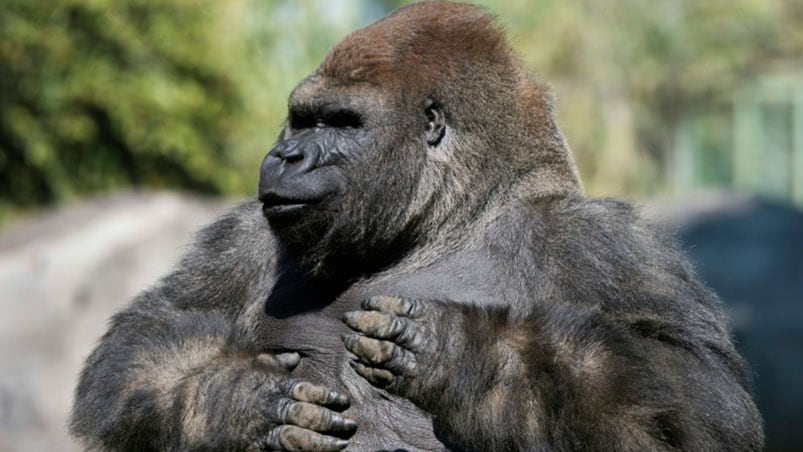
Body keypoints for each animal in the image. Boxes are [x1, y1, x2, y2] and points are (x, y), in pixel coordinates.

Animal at [67, 1, 760, 450]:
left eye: (341, 123)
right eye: (301, 119)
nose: (285, 155)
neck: (446, 222)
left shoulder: (600, 239)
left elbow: (699, 403)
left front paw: (468, 356)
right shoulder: (246, 235)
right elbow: (136, 345)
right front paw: (241, 398)